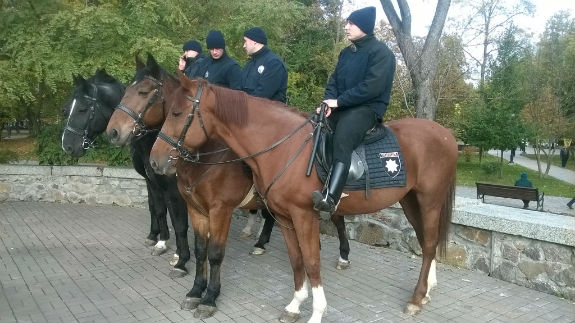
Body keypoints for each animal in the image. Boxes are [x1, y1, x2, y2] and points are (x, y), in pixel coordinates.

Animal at [62, 69, 190, 278]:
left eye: (83, 109)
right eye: (67, 108)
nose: (67, 146)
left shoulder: (172, 188)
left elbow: (178, 218)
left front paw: (178, 255)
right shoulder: (152, 181)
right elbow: (157, 208)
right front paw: (159, 239)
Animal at [106, 54, 354, 320]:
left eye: (143, 92)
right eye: (126, 90)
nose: (113, 132)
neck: (205, 156)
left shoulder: (216, 208)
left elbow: (209, 249)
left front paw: (204, 291)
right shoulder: (188, 202)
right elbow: (196, 244)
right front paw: (194, 288)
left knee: (336, 222)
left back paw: (339, 256)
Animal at [150, 73, 460, 323]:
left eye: (176, 112)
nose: (155, 161)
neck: (282, 147)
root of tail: (446, 134)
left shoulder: (297, 215)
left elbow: (311, 262)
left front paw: (317, 312)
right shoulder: (284, 217)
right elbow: (296, 260)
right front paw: (295, 305)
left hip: (429, 201)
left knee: (428, 245)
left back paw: (416, 298)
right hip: (410, 201)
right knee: (426, 240)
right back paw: (427, 290)